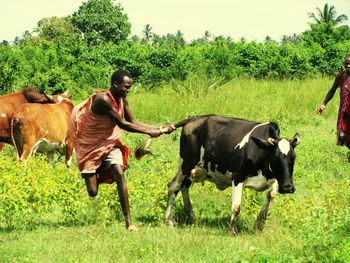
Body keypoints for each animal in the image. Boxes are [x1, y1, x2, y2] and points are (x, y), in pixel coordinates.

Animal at [165, 115, 300, 235]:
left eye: (294, 158)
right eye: (274, 158)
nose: (287, 187)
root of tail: (193, 118)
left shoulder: (273, 179)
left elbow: (270, 197)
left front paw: (258, 226)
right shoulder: (237, 177)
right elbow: (236, 207)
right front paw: (231, 230)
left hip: (193, 170)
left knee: (184, 186)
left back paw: (192, 217)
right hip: (186, 164)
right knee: (173, 185)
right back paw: (169, 220)